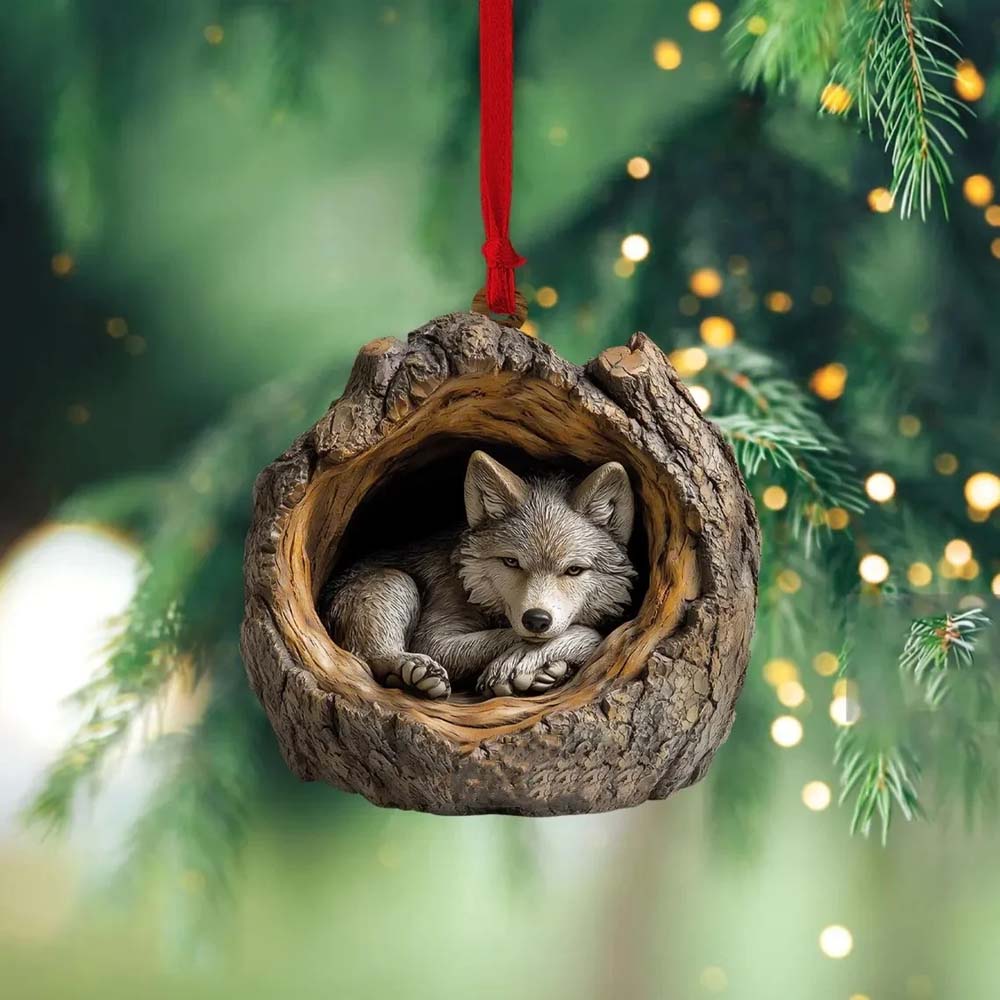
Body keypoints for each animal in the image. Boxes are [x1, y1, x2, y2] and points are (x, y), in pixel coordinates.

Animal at [323, 451, 637, 699]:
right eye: (511, 562)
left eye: (574, 570)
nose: (536, 620)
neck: (472, 588)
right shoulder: (436, 640)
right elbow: (581, 633)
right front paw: (519, 660)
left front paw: (534, 667)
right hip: (394, 582)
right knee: (369, 656)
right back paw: (409, 673)